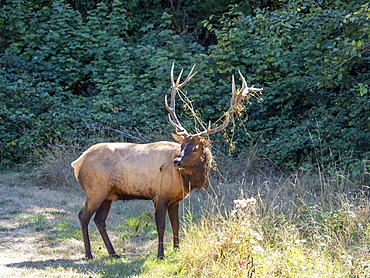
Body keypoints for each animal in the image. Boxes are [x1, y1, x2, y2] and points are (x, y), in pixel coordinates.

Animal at [71, 63, 264, 258]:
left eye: (195, 148)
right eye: (182, 145)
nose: (177, 162)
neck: (185, 181)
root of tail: (77, 163)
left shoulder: (175, 200)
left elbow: (177, 225)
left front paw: (177, 250)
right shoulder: (159, 194)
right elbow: (161, 226)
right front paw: (161, 254)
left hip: (109, 193)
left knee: (100, 220)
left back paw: (113, 253)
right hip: (95, 189)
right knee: (83, 216)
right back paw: (89, 253)